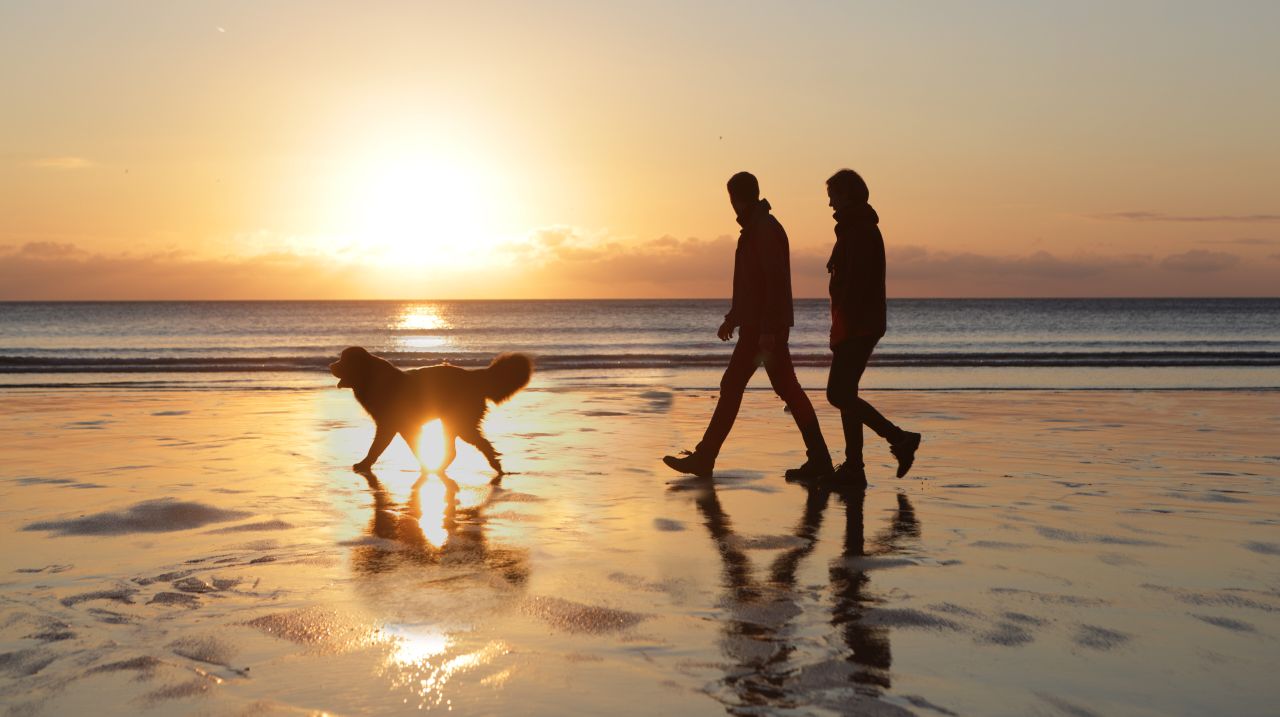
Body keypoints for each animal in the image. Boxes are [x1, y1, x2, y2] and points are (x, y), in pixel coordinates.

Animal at [330, 348, 535, 476]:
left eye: (344, 360)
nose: (331, 366)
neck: (371, 378)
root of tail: (474, 376)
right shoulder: (401, 427)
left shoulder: (390, 425)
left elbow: (376, 448)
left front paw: (364, 464)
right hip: (452, 424)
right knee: (463, 449)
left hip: (459, 424)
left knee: (471, 447)